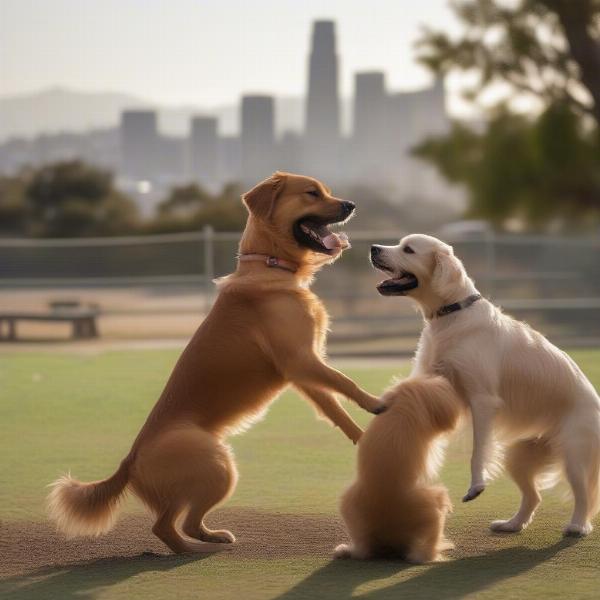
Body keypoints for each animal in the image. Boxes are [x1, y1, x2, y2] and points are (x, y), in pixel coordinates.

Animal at [49, 170, 382, 552]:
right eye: (312, 193)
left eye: (327, 190)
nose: (351, 205)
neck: (271, 267)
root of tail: (128, 462)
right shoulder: (301, 360)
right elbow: (345, 381)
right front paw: (377, 403)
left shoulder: (301, 372)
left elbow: (334, 408)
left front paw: (362, 437)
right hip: (217, 466)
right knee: (167, 526)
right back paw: (193, 550)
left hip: (218, 470)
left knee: (187, 523)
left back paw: (213, 537)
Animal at [370, 233, 600, 536]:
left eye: (408, 249)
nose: (373, 248)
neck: (451, 314)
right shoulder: (435, 381)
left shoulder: (481, 399)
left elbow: (478, 450)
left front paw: (476, 485)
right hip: (519, 458)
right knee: (534, 496)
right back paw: (512, 524)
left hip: (574, 454)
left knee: (583, 493)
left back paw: (577, 526)